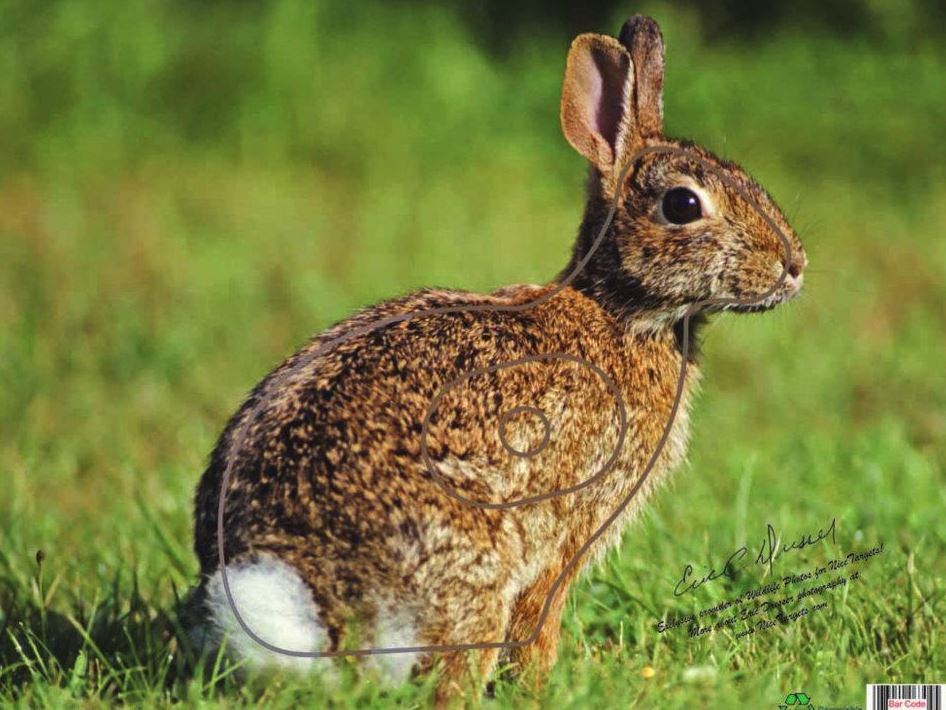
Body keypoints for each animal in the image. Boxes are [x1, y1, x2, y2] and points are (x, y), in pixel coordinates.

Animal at [185, 13, 806, 704]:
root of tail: (304, 592)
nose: (795, 266)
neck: (620, 313)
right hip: (473, 574)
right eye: (683, 205)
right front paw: (540, 688)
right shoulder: (567, 531)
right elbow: (538, 626)